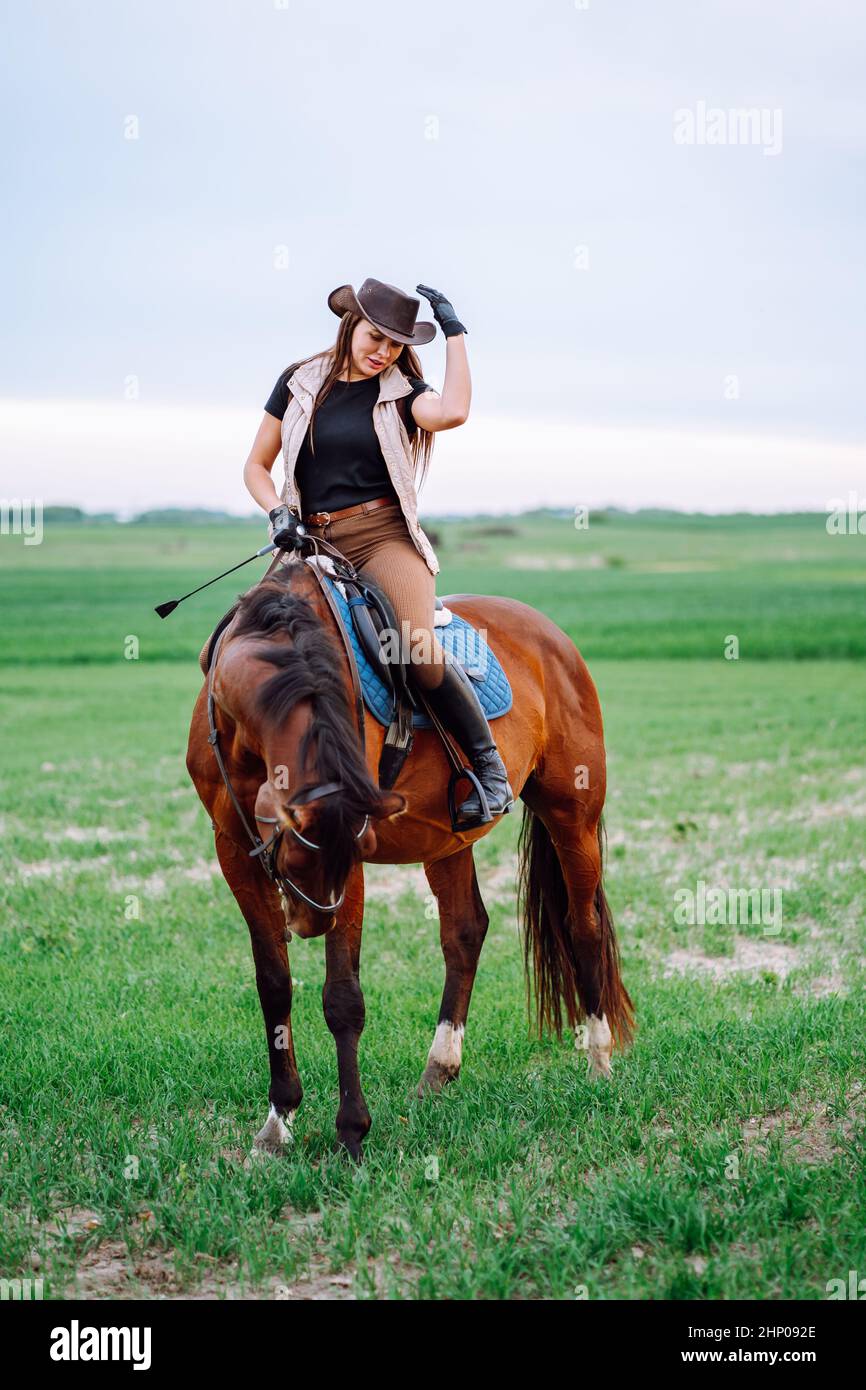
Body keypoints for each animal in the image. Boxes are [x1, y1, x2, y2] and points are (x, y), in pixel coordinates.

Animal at [184, 547, 631, 1156]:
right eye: (295, 855)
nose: (310, 922)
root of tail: (551, 636)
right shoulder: (234, 849)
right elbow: (274, 985)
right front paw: (277, 1123)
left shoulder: (350, 865)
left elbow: (342, 997)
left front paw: (351, 1131)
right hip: (448, 836)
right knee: (465, 931)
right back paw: (438, 1070)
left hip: (572, 815)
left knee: (580, 924)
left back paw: (599, 1062)